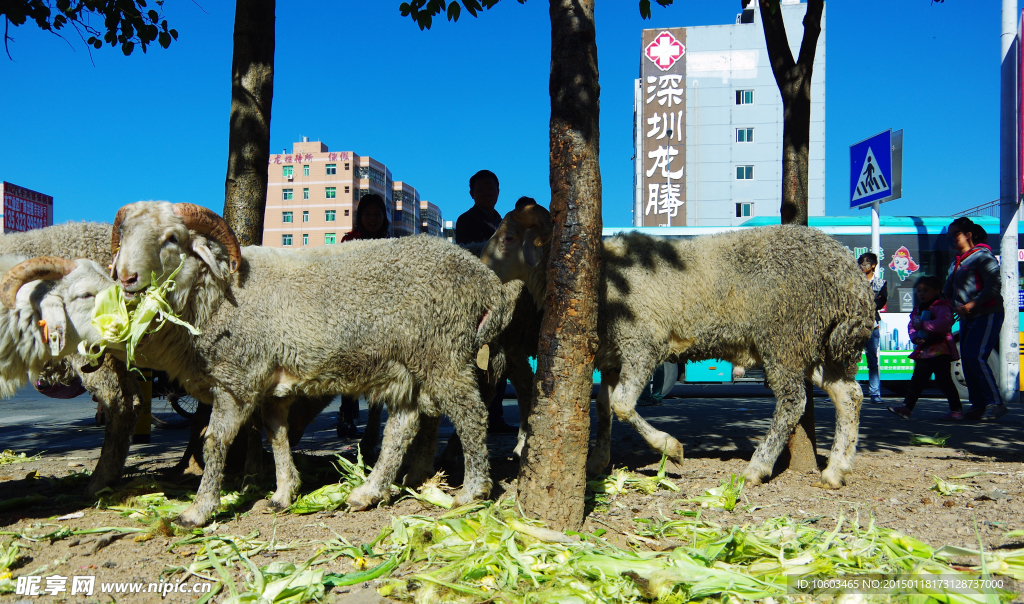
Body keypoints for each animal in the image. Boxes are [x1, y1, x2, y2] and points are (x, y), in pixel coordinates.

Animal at [80, 201, 516, 528]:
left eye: (172, 238)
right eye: (126, 237)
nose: (126, 278)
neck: (214, 294)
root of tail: (487, 281)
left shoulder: (236, 380)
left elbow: (215, 442)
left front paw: (198, 511)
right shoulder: (270, 386)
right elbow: (278, 436)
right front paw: (282, 493)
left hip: (444, 352)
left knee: (471, 414)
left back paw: (472, 491)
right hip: (408, 364)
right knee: (402, 426)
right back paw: (368, 492)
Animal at [477, 205, 872, 489]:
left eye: (509, 238)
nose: (478, 267)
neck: (602, 275)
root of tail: (847, 273)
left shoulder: (642, 343)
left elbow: (622, 406)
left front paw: (671, 447)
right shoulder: (611, 355)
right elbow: (604, 407)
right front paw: (597, 461)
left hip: (784, 337)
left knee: (793, 403)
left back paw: (757, 467)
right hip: (813, 341)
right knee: (848, 395)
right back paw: (836, 470)